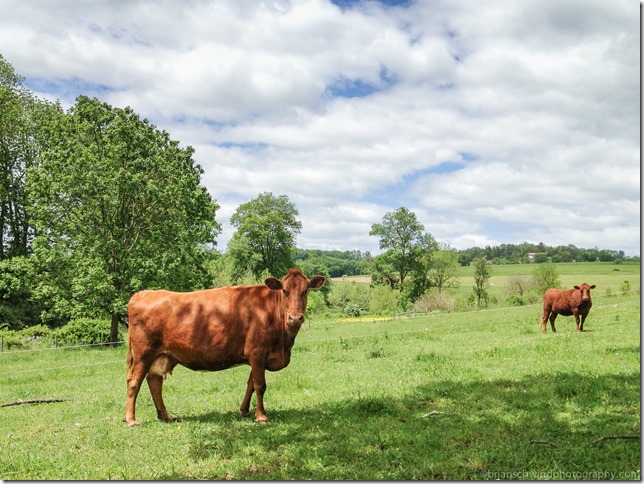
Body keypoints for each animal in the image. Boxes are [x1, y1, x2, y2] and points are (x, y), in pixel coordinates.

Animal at [124, 268, 328, 428]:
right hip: (144, 352)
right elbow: (260, 385)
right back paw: (131, 419)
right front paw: (261, 416)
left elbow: (250, 383)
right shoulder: (257, 352)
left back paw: (166, 417)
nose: (295, 317)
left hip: (163, 355)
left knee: (154, 382)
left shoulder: (256, 356)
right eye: (285, 291)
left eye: (306, 291)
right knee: (134, 381)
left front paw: (244, 410)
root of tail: (143, 293)